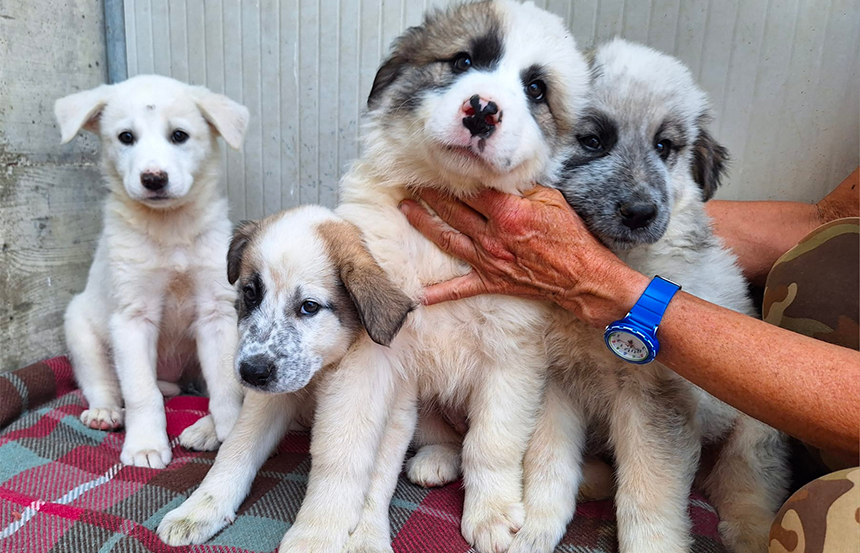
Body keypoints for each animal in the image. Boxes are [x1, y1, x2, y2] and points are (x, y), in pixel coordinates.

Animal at [56, 75, 249, 468]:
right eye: (126, 137)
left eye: (179, 135)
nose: (154, 178)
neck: (169, 227)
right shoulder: (132, 317)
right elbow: (141, 392)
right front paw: (145, 445)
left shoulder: (216, 311)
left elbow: (225, 383)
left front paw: (230, 427)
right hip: (80, 328)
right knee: (103, 381)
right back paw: (105, 412)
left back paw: (205, 429)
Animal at [160, 205, 414, 544]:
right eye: (251, 293)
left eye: (309, 307)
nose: (251, 372)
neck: (319, 373)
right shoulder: (267, 398)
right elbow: (237, 447)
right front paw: (200, 509)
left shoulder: (381, 401)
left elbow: (351, 461)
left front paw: (319, 535)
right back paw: (206, 428)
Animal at [510, 40, 792, 552]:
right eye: (593, 141)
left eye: (665, 146)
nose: (641, 211)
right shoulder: (554, 383)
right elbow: (547, 465)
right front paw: (537, 530)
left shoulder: (654, 401)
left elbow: (648, 496)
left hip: (754, 426)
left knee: (747, 481)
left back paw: (752, 530)